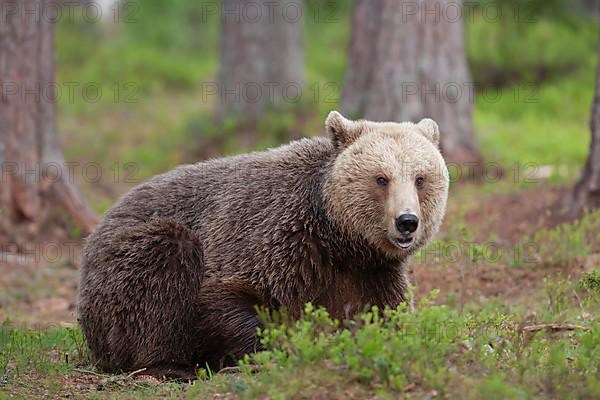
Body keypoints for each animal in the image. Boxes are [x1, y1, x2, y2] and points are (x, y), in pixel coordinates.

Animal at [77, 111, 448, 380]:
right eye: (381, 178)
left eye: (421, 178)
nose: (407, 221)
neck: (337, 236)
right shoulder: (269, 239)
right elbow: (221, 298)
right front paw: (272, 348)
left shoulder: (369, 272)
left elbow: (386, 316)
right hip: (127, 258)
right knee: (163, 264)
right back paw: (169, 366)